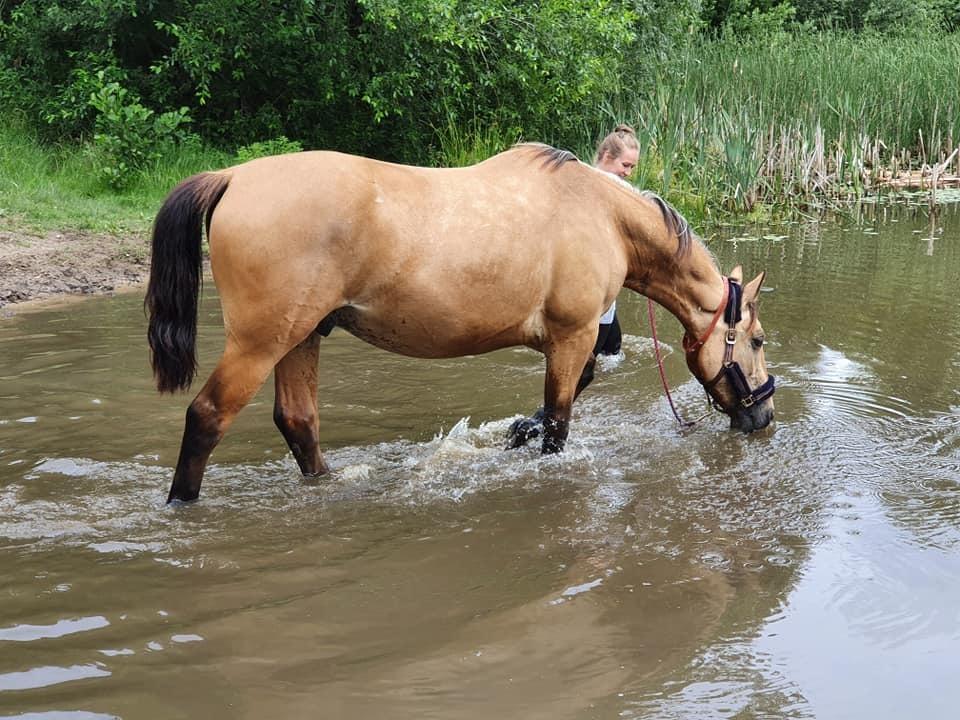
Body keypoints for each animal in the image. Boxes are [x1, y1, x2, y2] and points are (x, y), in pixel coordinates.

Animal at [146, 143, 776, 504]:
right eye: (757, 340)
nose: (763, 415)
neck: (604, 215)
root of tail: (233, 177)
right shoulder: (572, 336)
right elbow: (560, 420)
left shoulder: (569, 341)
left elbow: (562, 398)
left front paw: (514, 433)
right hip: (261, 343)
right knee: (207, 417)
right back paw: (181, 503)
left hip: (303, 337)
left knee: (298, 422)